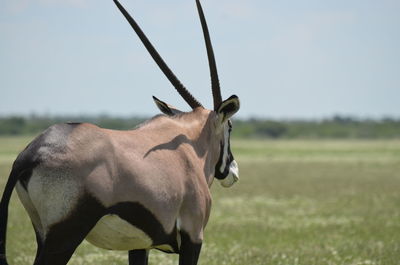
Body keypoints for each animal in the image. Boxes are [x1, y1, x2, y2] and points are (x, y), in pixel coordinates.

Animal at [0, 0, 241, 264]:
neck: (192, 147)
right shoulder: (193, 235)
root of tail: (29, 156)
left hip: (43, 233)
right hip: (64, 237)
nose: (233, 171)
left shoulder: (140, 244)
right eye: (230, 126)